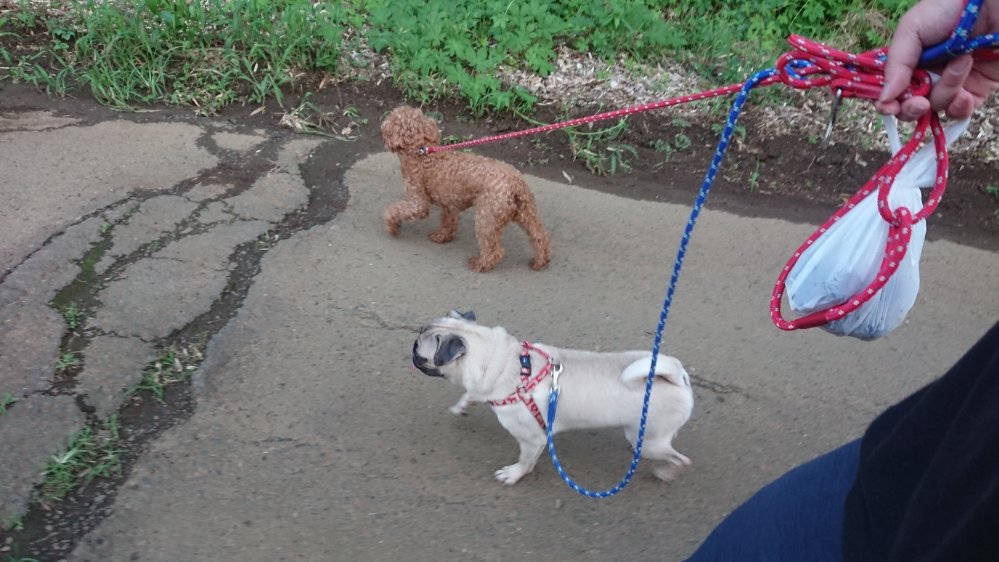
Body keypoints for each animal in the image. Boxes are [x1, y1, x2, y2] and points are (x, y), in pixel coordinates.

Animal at [380, 105, 551, 273]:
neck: (422, 153)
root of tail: (516, 183)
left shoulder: (417, 201)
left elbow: (395, 210)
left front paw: (391, 226)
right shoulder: (449, 205)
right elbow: (448, 222)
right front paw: (441, 236)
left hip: (486, 217)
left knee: (494, 250)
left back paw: (480, 264)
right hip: (526, 211)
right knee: (539, 236)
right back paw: (540, 261)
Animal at [412, 311, 694, 485]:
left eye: (420, 353)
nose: (411, 348)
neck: (507, 360)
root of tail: (677, 377)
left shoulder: (531, 440)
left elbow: (526, 461)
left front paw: (514, 474)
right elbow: (472, 394)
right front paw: (463, 405)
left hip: (653, 444)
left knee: (681, 460)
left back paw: (665, 473)